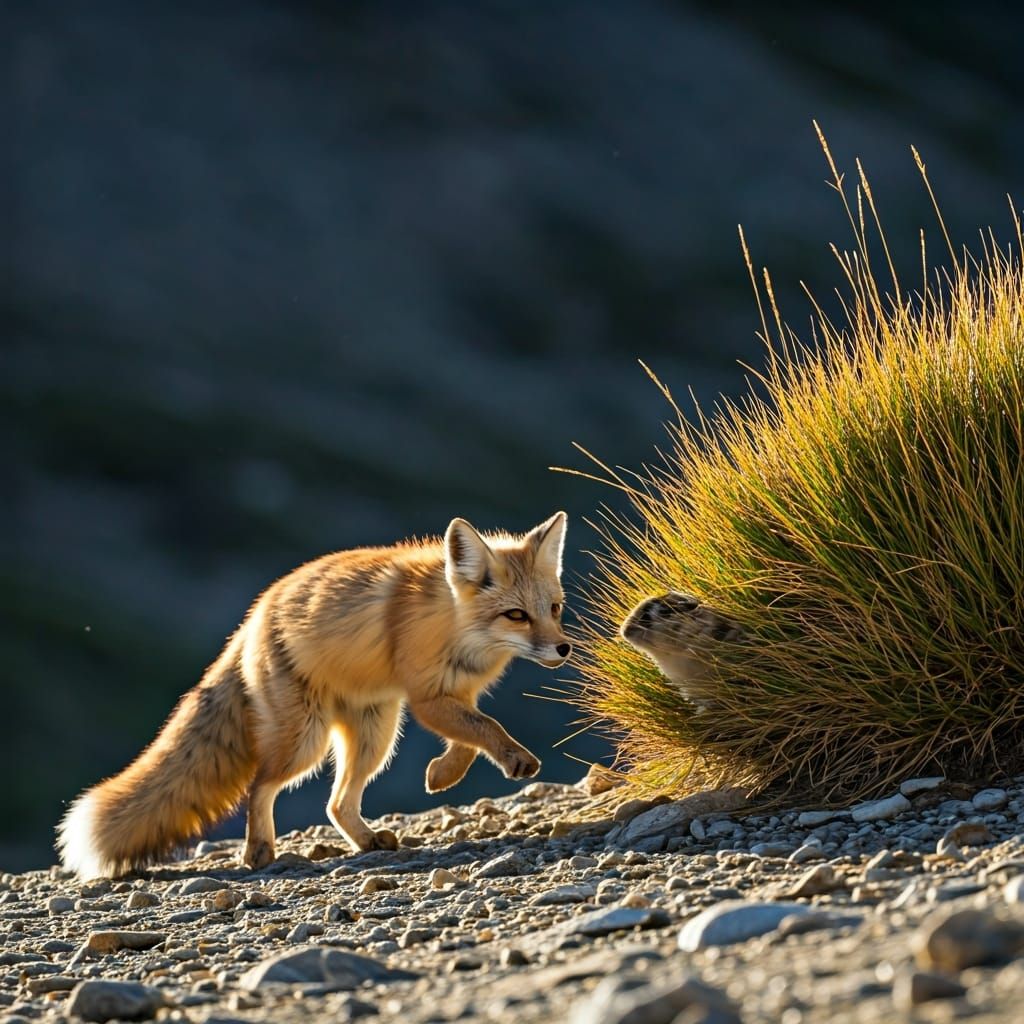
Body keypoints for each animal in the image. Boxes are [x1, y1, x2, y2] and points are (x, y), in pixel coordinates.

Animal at [57, 512, 571, 879]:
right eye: (516, 615)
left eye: (554, 608)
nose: (564, 648)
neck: (456, 628)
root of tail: (252, 617)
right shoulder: (427, 695)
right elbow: (486, 728)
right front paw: (508, 759)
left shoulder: (452, 693)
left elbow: (471, 739)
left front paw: (443, 775)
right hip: (306, 741)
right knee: (259, 785)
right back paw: (259, 852)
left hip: (376, 734)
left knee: (337, 803)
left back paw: (366, 842)